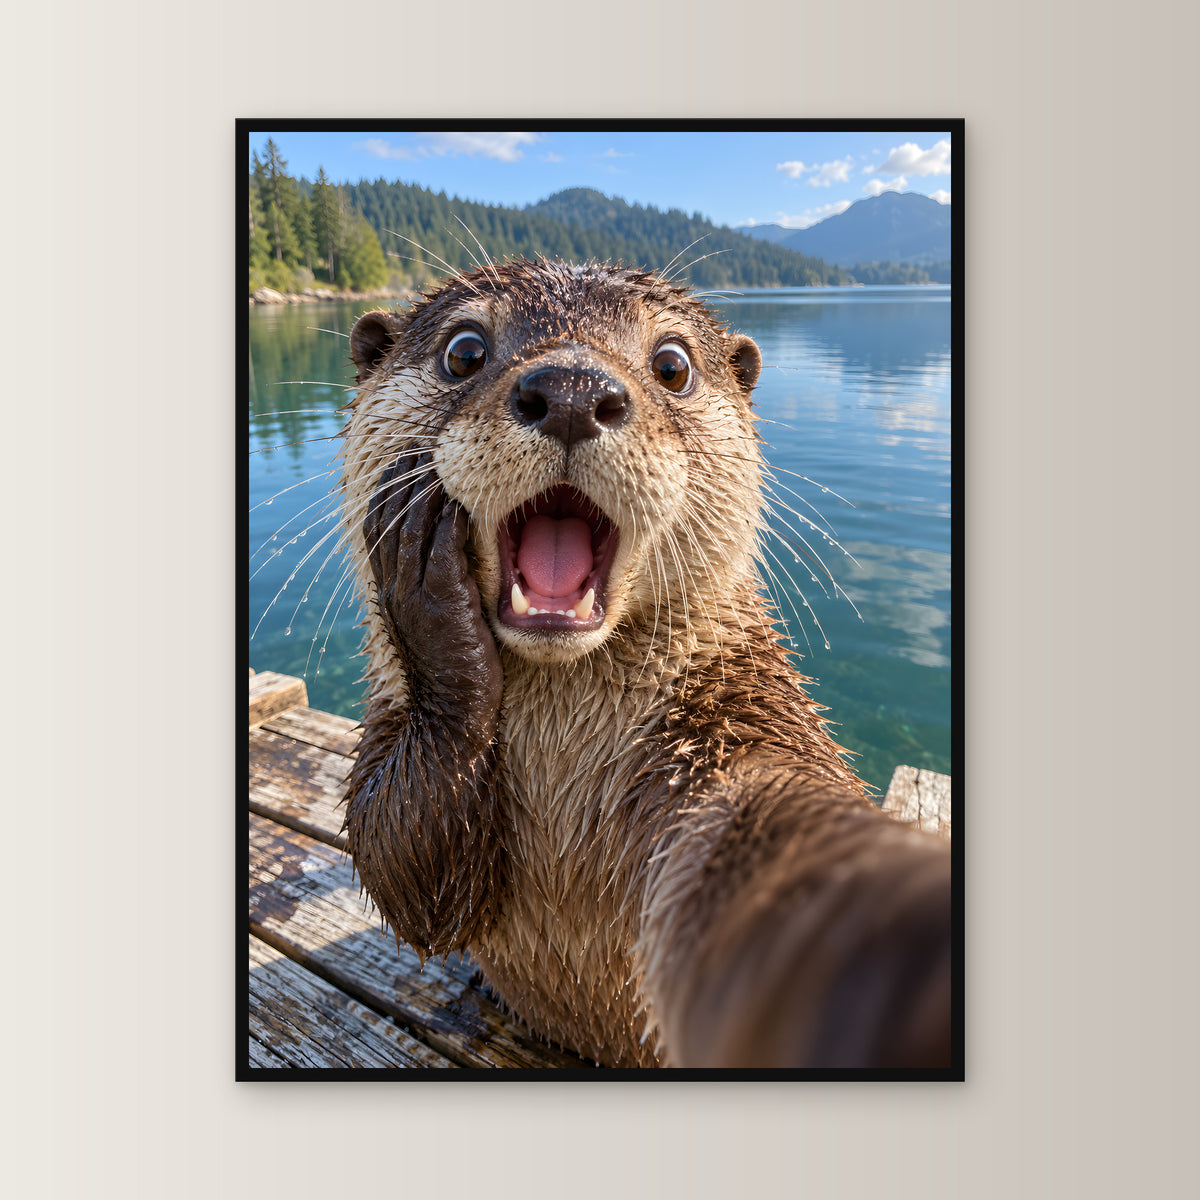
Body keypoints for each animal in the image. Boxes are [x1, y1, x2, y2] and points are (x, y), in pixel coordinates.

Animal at [338, 258, 952, 1069]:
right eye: (464, 351)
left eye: (673, 365)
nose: (571, 389)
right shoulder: (389, 719)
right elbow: (398, 862)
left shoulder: (745, 726)